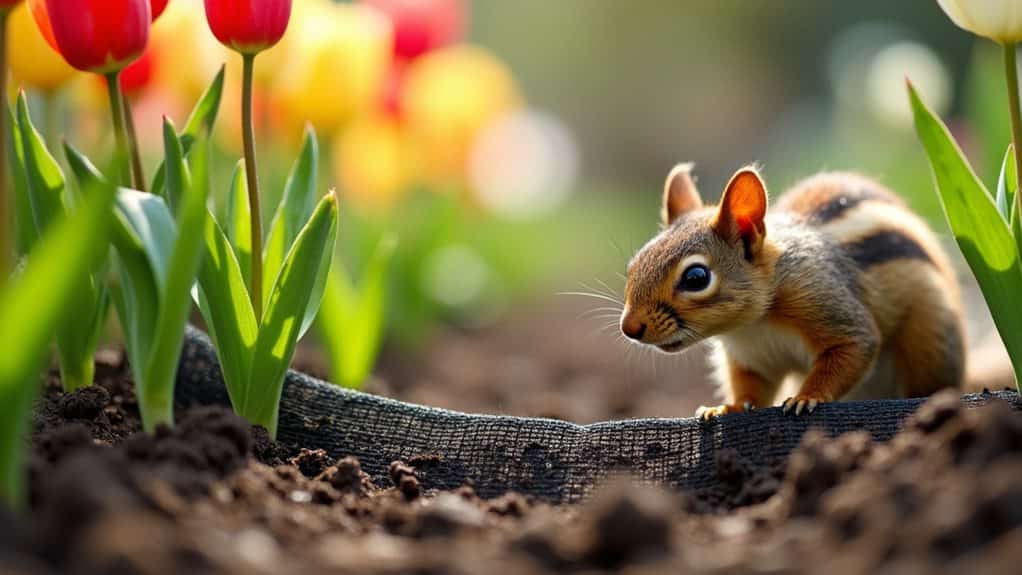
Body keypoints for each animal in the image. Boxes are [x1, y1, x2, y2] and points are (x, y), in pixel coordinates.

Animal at [620, 163, 965, 418]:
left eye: (696, 278)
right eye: (633, 265)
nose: (629, 328)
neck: (755, 325)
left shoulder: (826, 301)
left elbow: (851, 349)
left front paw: (807, 396)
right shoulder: (750, 358)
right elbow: (750, 386)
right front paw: (727, 407)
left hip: (930, 339)